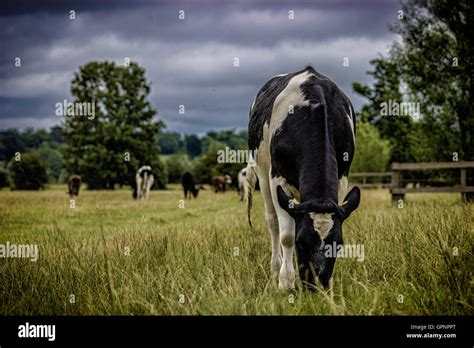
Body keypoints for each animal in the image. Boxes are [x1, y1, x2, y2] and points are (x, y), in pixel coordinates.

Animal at [246, 66, 362, 290]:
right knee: (273, 222)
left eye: (339, 244)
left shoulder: (342, 178)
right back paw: (275, 269)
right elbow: (286, 235)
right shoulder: (277, 178)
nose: (317, 286)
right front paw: (285, 282)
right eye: (301, 243)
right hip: (262, 172)